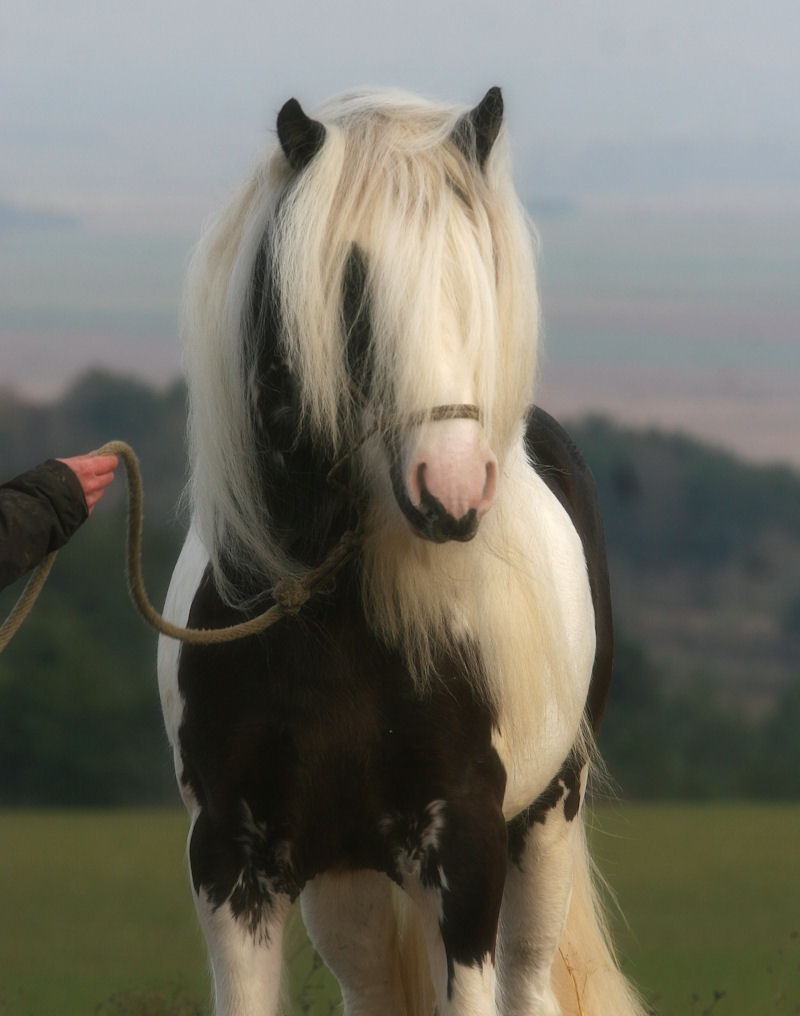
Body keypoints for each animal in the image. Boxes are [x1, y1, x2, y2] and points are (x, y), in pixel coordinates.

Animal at [157, 87, 646, 1016]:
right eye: (351, 282)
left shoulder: (466, 849)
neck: (331, 620)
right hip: (348, 881)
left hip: (545, 822)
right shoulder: (231, 864)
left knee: (531, 977)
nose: (450, 488)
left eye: (476, 266)